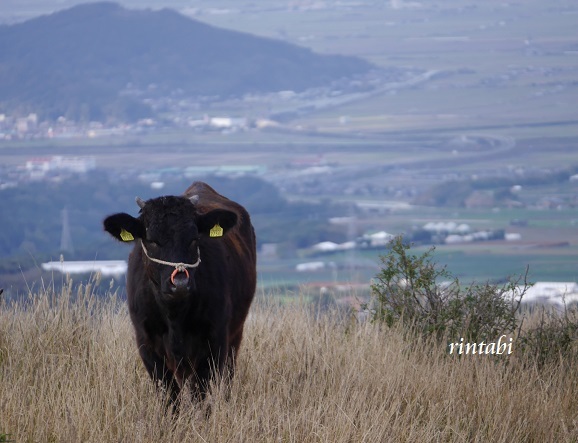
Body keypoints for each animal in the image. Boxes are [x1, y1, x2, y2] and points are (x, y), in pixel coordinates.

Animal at [103, 182, 254, 408]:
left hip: (235, 335)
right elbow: (169, 396)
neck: (174, 315)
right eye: (152, 240)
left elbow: (200, 394)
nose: (180, 283)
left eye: (194, 238)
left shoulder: (214, 342)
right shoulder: (147, 344)